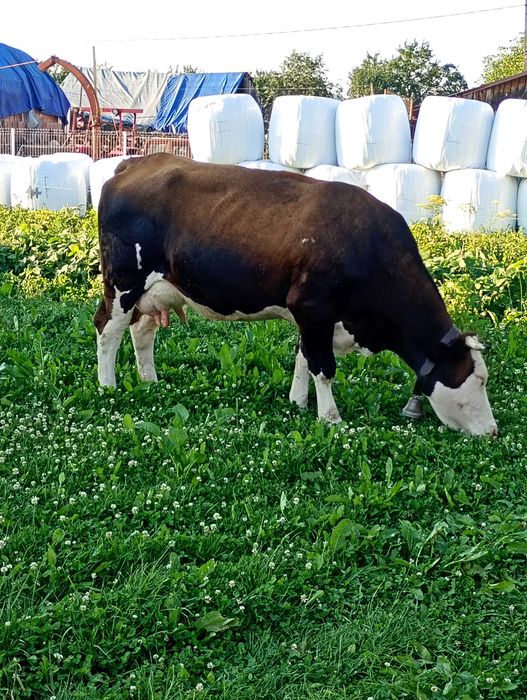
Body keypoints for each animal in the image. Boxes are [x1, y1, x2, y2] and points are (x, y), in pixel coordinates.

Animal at [93, 153, 498, 436]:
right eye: (478, 379)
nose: (493, 432)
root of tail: (135, 162)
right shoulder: (313, 307)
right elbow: (323, 366)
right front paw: (330, 418)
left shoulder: (314, 317)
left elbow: (304, 357)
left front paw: (299, 402)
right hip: (123, 281)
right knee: (107, 329)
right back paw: (108, 386)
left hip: (156, 289)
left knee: (141, 331)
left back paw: (149, 381)